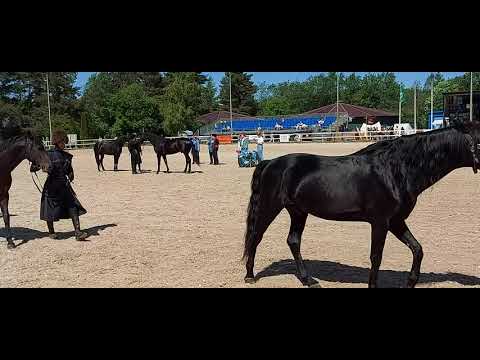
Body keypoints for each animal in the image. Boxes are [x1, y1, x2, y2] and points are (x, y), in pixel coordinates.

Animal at [246, 122, 480, 288]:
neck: (395, 170)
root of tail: (270, 163)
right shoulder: (380, 222)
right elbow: (376, 257)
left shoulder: (396, 221)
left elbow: (417, 249)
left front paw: (411, 281)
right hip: (270, 207)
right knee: (256, 236)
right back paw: (249, 275)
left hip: (298, 212)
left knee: (293, 241)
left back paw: (308, 280)